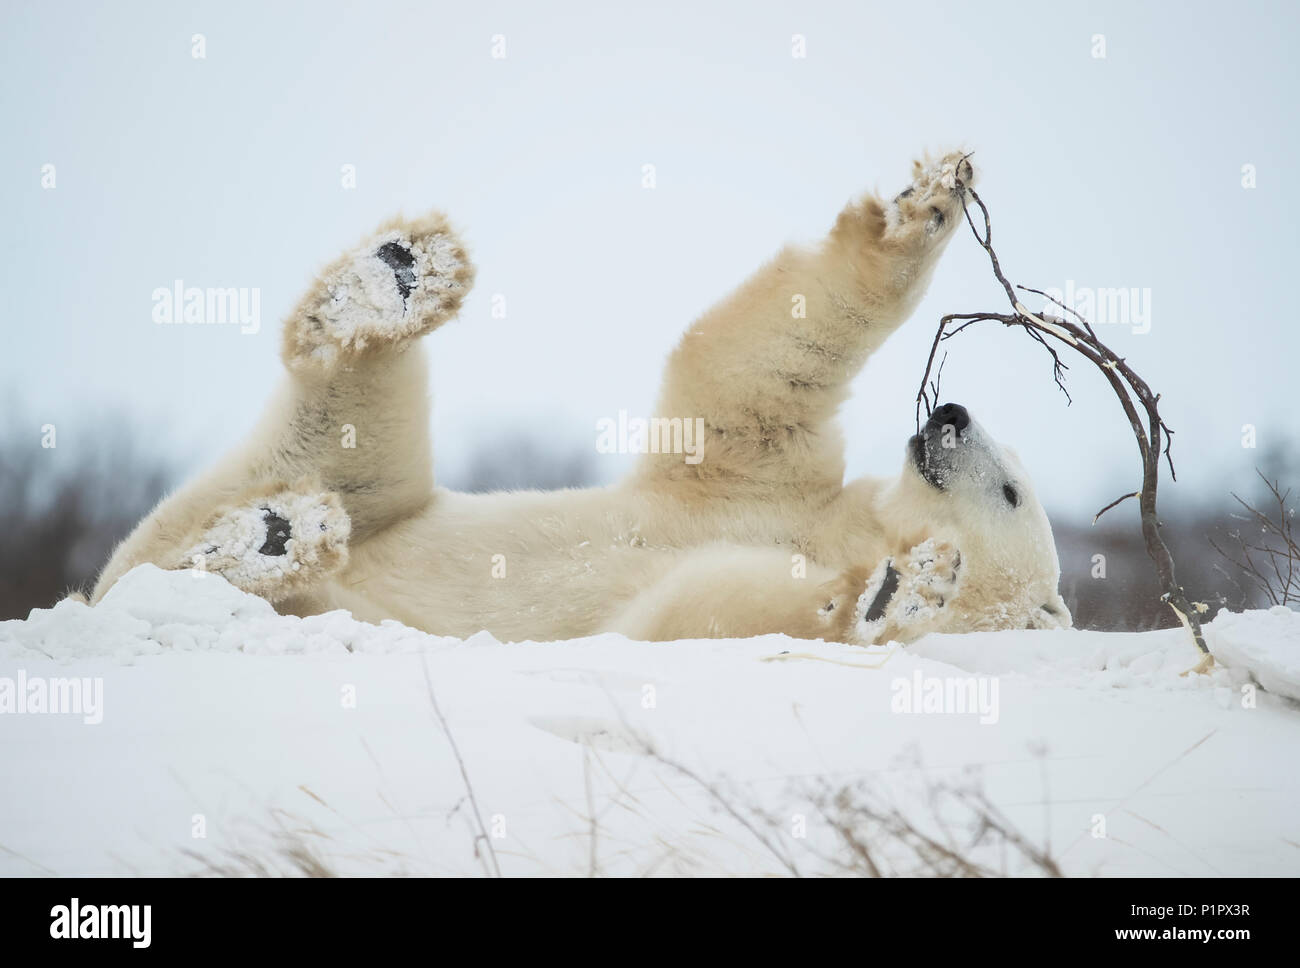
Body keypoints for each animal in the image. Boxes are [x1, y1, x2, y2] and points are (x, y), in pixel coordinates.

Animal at [89, 150, 1066, 644]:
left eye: (1013, 490)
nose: (950, 414)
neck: (842, 533)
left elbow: (695, 610)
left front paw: (895, 594)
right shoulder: (771, 483)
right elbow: (752, 376)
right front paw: (926, 204)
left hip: (338, 591)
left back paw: (273, 537)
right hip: (381, 509)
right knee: (351, 445)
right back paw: (391, 285)